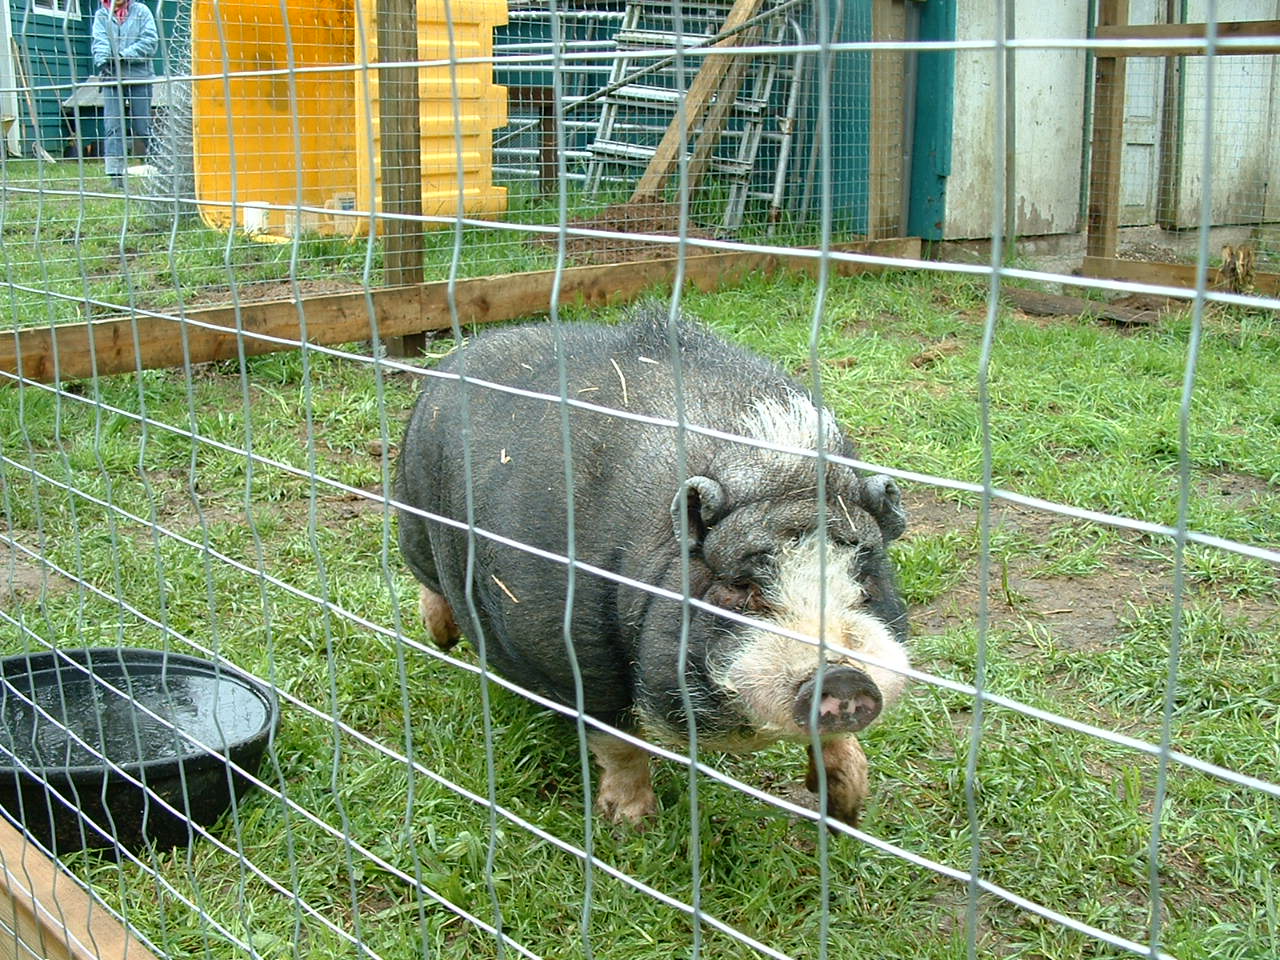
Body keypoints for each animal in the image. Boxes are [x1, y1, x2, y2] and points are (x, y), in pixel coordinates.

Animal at [395, 303, 910, 827]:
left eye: (863, 582)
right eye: (741, 587)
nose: (844, 677)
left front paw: (848, 810)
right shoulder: (574, 652)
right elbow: (618, 741)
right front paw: (631, 824)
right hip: (412, 507)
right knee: (425, 577)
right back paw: (442, 639)